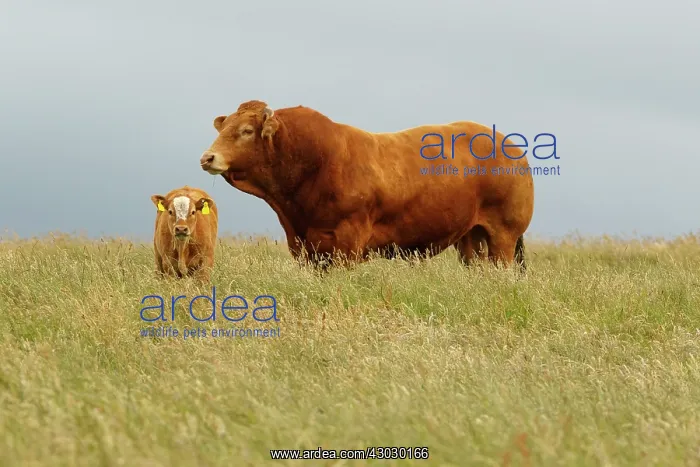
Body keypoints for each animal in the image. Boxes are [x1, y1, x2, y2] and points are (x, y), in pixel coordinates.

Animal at [198, 100, 534, 272]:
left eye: (245, 130)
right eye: (223, 128)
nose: (208, 157)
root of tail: (509, 146)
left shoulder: (346, 243)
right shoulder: (304, 245)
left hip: (503, 235)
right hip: (470, 238)